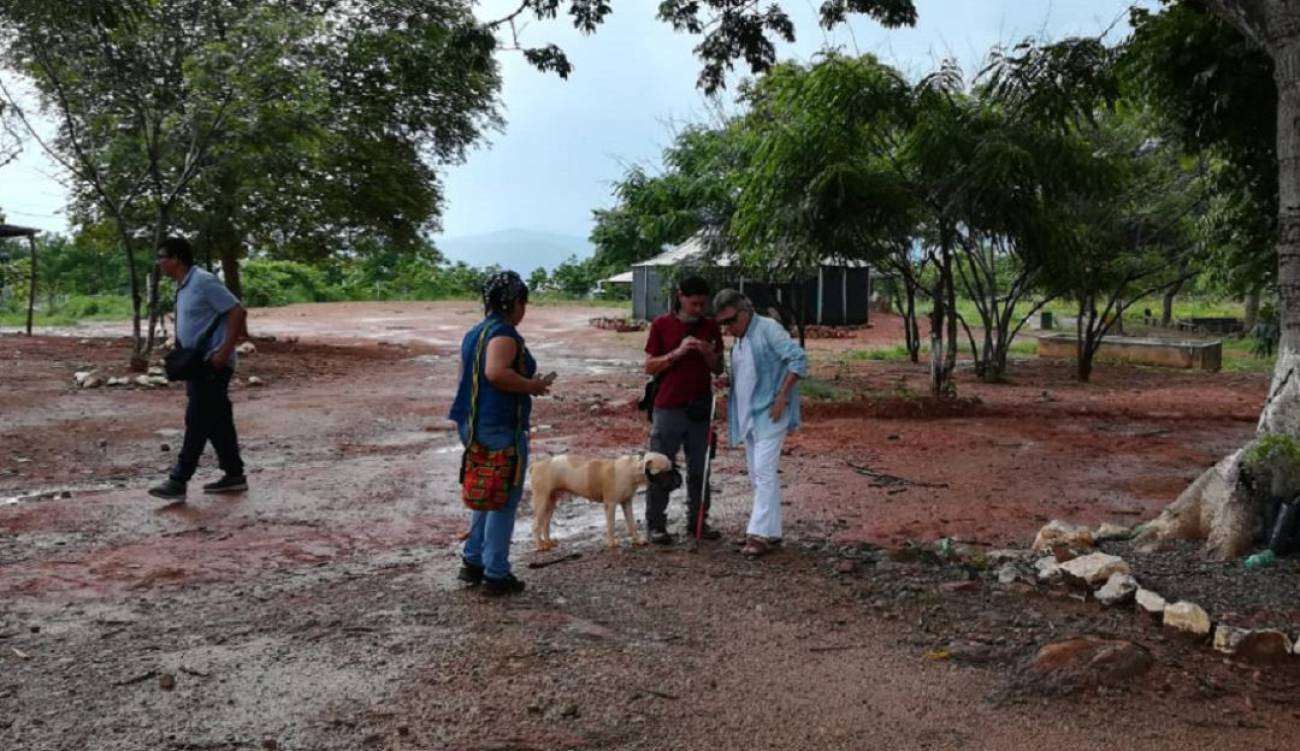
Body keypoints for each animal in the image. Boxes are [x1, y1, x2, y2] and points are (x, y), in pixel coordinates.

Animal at [527, 449, 676, 550]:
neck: (632, 470)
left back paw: (547, 542)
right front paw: (611, 543)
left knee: (545, 523)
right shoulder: (610, 504)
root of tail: (536, 465)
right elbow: (611, 525)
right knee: (536, 525)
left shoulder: (627, 503)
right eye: (665, 470)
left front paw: (637, 540)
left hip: (550, 501)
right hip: (541, 500)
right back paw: (540, 545)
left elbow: (632, 524)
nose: (677, 481)